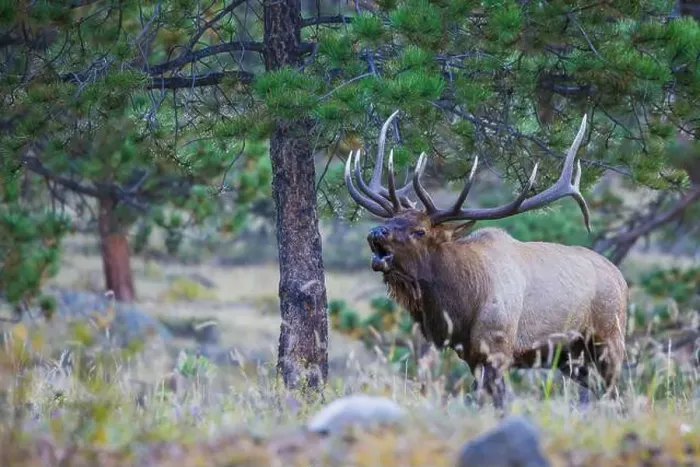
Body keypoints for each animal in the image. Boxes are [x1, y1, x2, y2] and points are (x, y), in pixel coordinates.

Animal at [343, 110, 628, 409]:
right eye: (389, 220)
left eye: (419, 231)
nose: (375, 232)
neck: (461, 305)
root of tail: (620, 278)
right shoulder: (471, 355)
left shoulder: (497, 347)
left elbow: (499, 402)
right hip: (570, 357)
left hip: (608, 338)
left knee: (614, 392)